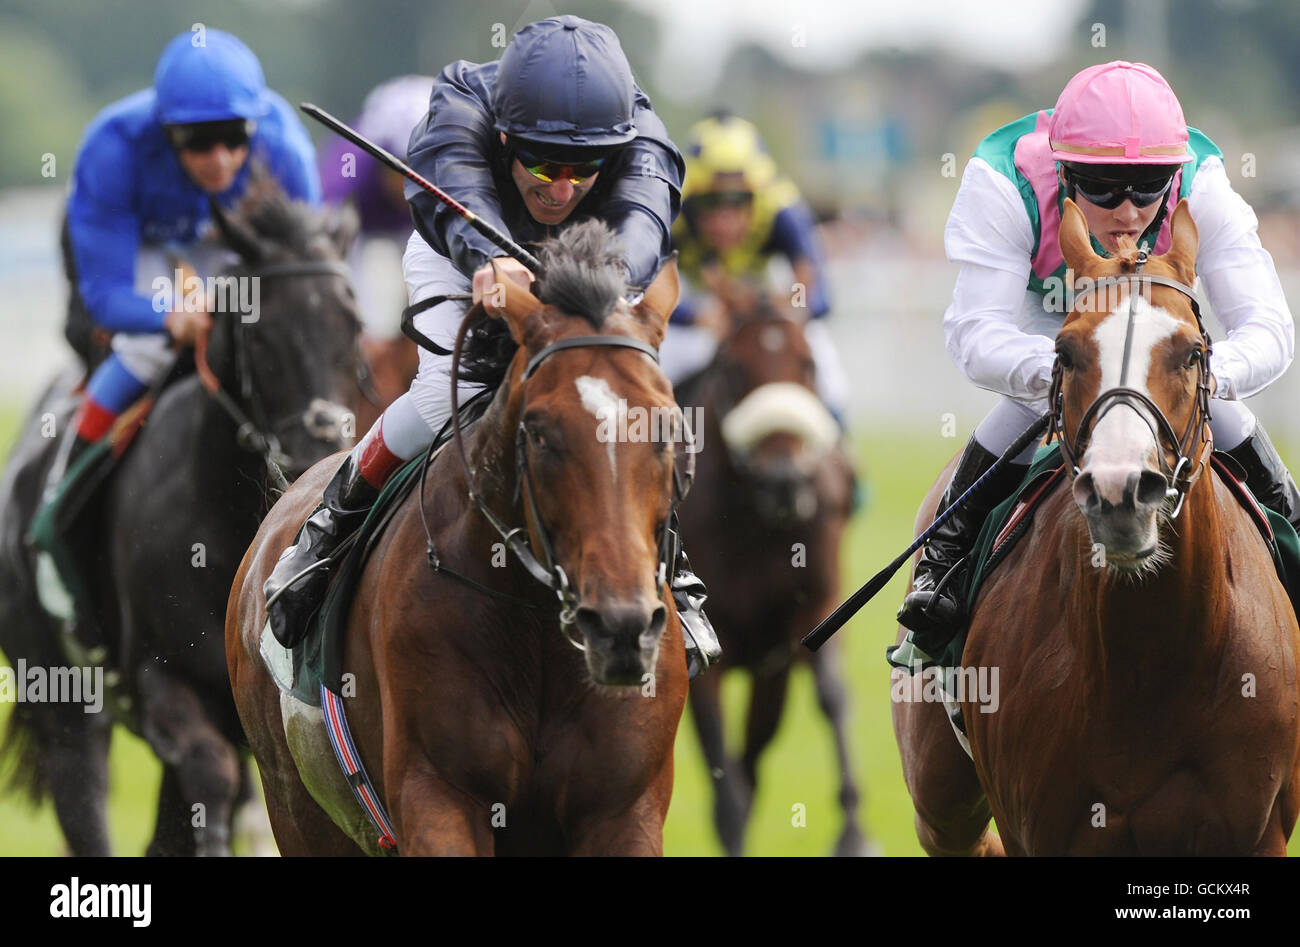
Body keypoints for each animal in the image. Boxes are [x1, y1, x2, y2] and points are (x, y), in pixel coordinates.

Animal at [0, 180, 364, 853]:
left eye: (351, 325)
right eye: (261, 334)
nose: (313, 456)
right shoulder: (162, 680)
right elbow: (210, 775)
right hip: (60, 696)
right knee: (83, 797)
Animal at [226, 223, 691, 858]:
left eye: (668, 425)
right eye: (538, 433)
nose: (621, 627)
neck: (538, 632)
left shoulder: (624, 810)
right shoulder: (437, 794)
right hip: (298, 810)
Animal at [676, 283, 868, 858]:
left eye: (807, 364)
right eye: (734, 369)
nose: (786, 480)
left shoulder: (810, 610)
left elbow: (832, 696)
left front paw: (853, 832)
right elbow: (722, 770)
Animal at [894, 200, 1300, 858]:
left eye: (1191, 352)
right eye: (1064, 353)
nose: (1120, 492)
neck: (1156, 655)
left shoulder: (1257, 830)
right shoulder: (1042, 828)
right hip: (938, 796)